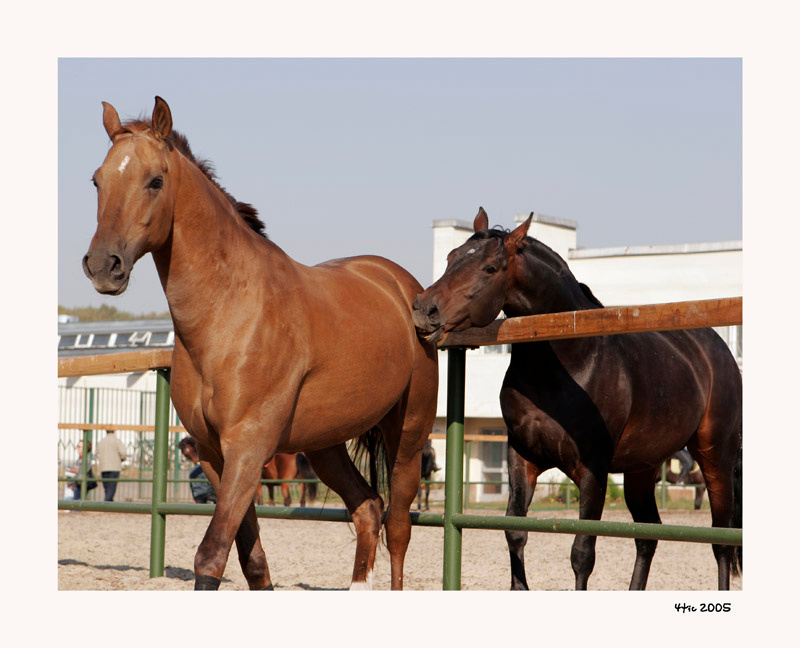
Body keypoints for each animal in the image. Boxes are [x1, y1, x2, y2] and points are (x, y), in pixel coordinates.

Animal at [83, 97, 438, 590]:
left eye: (155, 181)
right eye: (98, 180)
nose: (103, 265)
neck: (229, 314)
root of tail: (401, 285)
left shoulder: (247, 451)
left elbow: (211, 555)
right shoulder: (217, 456)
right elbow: (252, 560)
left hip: (408, 435)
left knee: (399, 526)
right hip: (324, 444)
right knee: (368, 508)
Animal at [412, 207, 742, 590]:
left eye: (489, 268)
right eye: (450, 258)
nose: (424, 309)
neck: (572, 363)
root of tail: (718, 351)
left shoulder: (592, 469)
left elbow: (582, 552)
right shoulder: (522, 459)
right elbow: (515, 532)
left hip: (715, 458)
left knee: (721, 542)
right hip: (642, 469)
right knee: (648, 535)